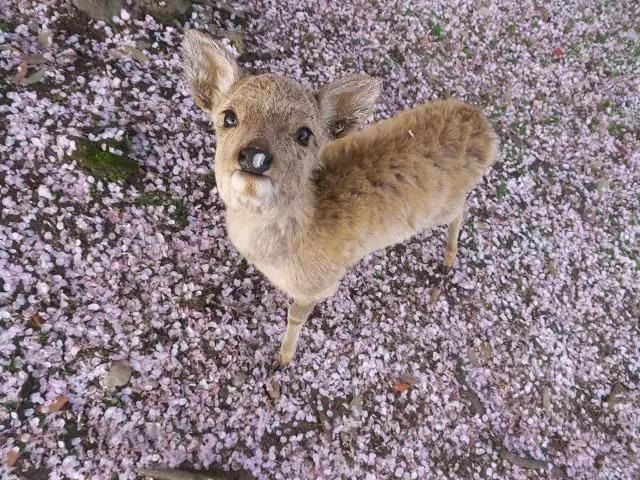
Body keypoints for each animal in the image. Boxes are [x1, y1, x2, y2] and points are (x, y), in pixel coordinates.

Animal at [181, 30, 498, 366]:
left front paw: (283, 359)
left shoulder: (320, 285)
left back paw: (448, 260)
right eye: (228, 117)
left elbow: (295, 317)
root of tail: (487, 130)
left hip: (441, 208)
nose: (255, 156)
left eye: (304, 134)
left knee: (460, 210)